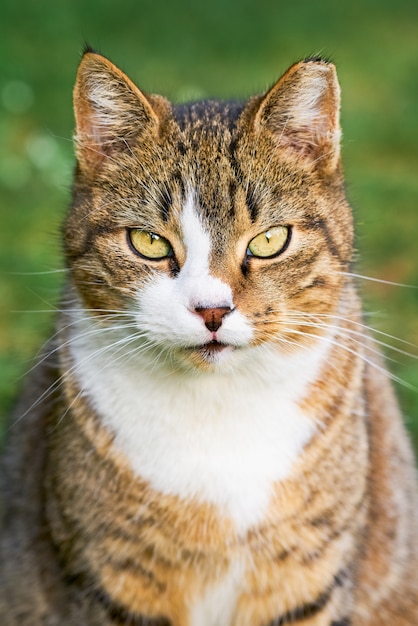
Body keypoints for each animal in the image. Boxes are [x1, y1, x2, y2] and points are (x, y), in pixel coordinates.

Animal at [0, 50, 418, 624]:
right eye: (149, 242)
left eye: (270, 239)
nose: (212, 310)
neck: (217, 408)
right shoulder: (112, 578)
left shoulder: (304, 578)